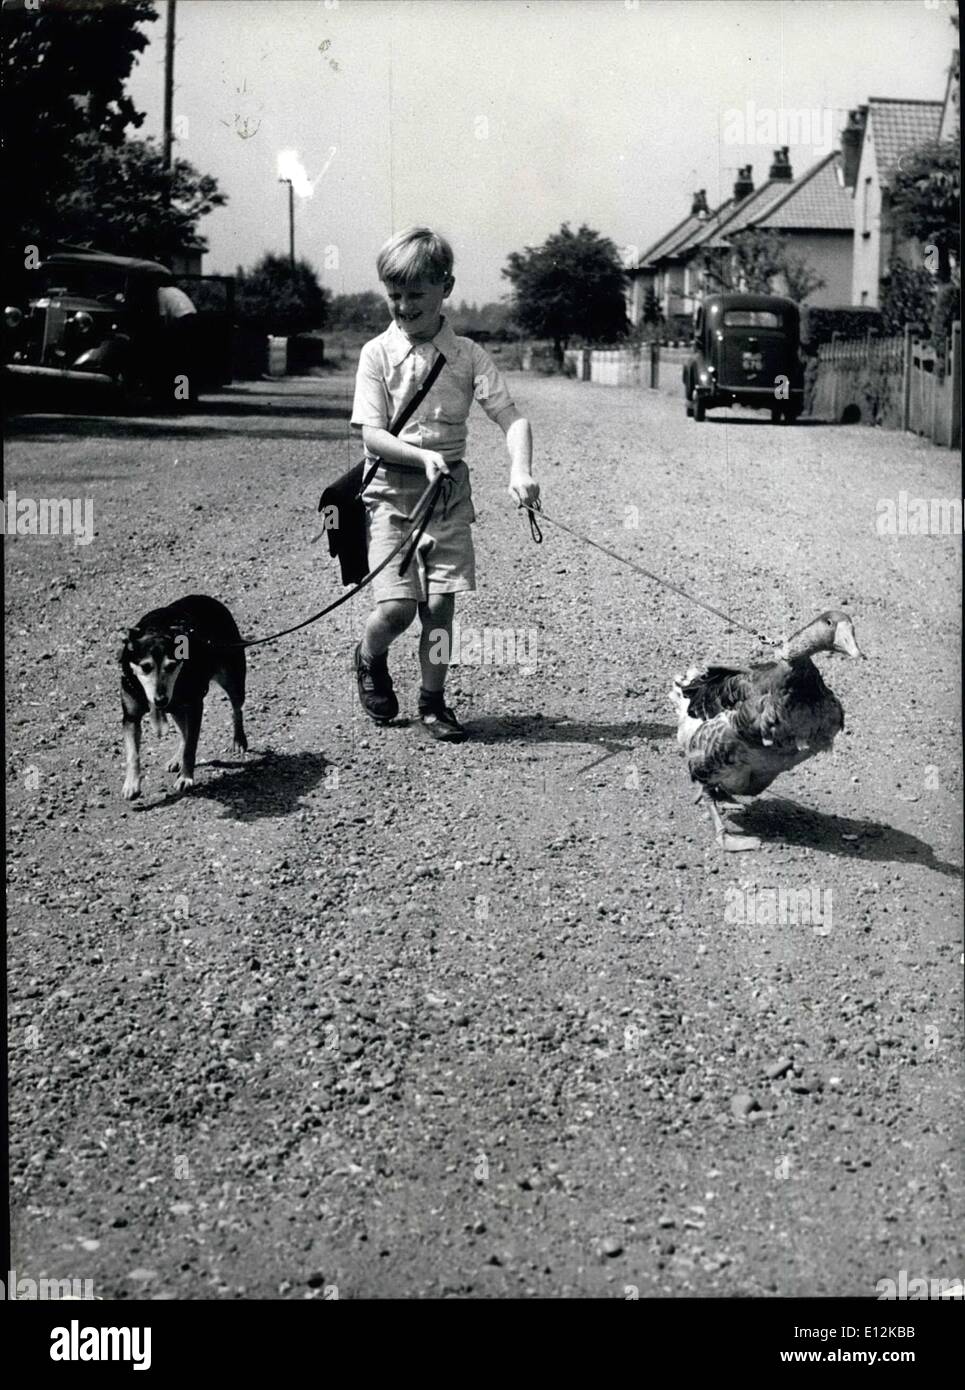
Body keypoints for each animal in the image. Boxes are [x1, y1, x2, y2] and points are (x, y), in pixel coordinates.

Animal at [120, 592, 248, 800]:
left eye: (172, 666)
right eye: (145, 667)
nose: (160, 700)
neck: (156, 629)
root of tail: (206, 598)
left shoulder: (195, 706)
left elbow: (191, 747)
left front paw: (186, 778)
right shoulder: (130, 717)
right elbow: (133, 754)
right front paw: (131, 784)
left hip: (233, 681)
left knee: (236, 710)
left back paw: (239, 740)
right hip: (176, 708)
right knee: (183, 732)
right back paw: (176, 759)